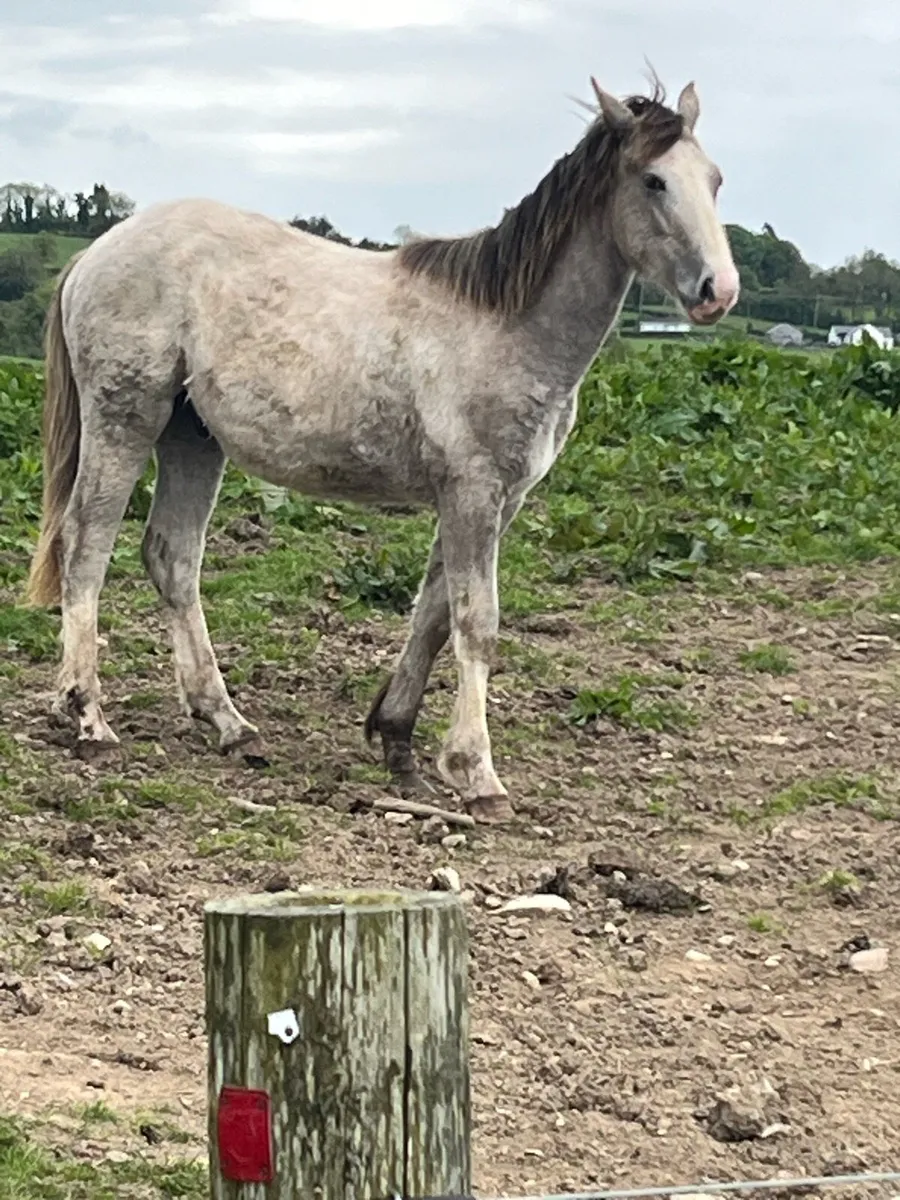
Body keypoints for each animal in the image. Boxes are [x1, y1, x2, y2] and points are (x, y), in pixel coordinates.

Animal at [25, 75, 739, 824]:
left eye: (714, 179)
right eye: (654, 181)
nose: (718, 292)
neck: (506, 327)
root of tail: (94, 253)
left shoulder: (491, 500)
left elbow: (432, 615)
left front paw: (399, 745)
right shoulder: (474, 494)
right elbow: (476, 622)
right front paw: (477, 774)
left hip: (194, 439)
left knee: (172, 559)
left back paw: (228, 723)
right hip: (125, 422)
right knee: (87, 546)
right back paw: (88, 716)